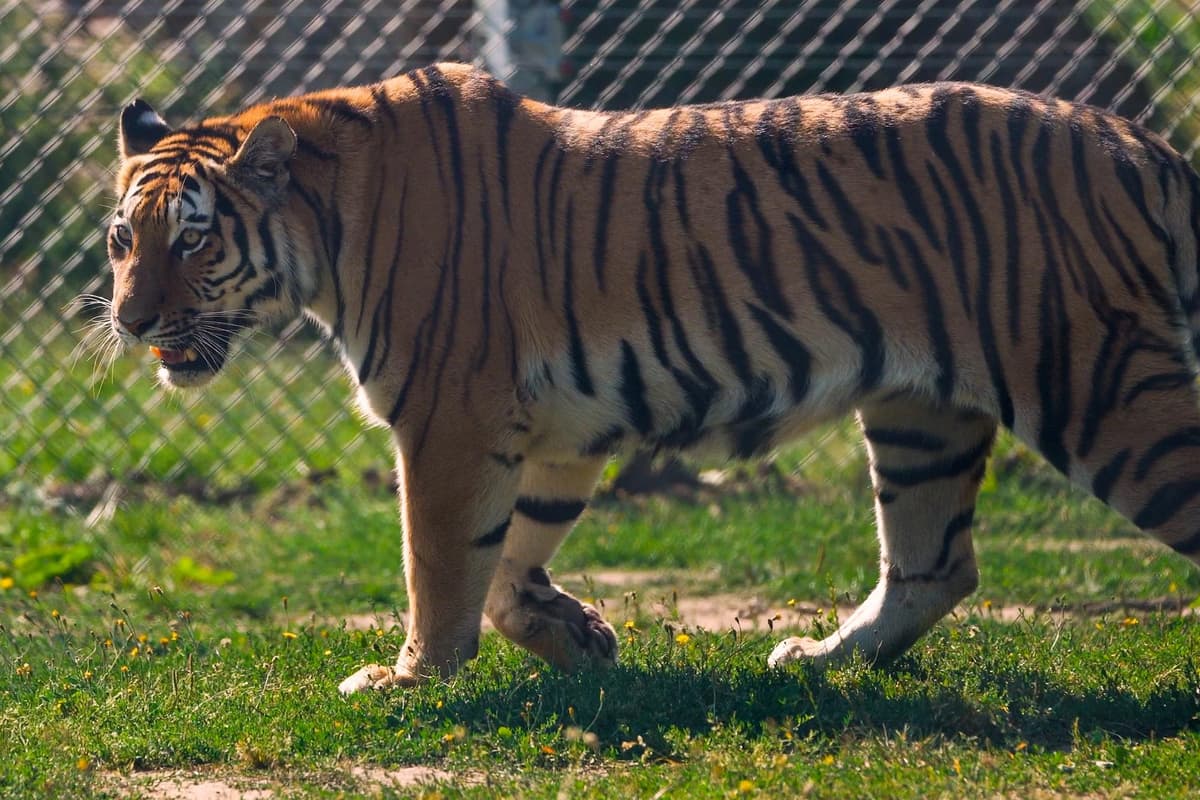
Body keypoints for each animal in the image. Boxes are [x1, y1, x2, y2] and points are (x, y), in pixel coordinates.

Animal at [103, 63, 1200, 694]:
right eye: (123, 240)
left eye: (193, 240)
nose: (129, 321)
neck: (327, 227)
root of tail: (1141, 142)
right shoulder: (552, 430)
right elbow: (504, 564)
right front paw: (581, 637)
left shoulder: (450, 419)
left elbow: (440, 563)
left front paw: (410, 678)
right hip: (920, 415)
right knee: (935, 564)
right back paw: (822, 659)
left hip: (1101, 385)